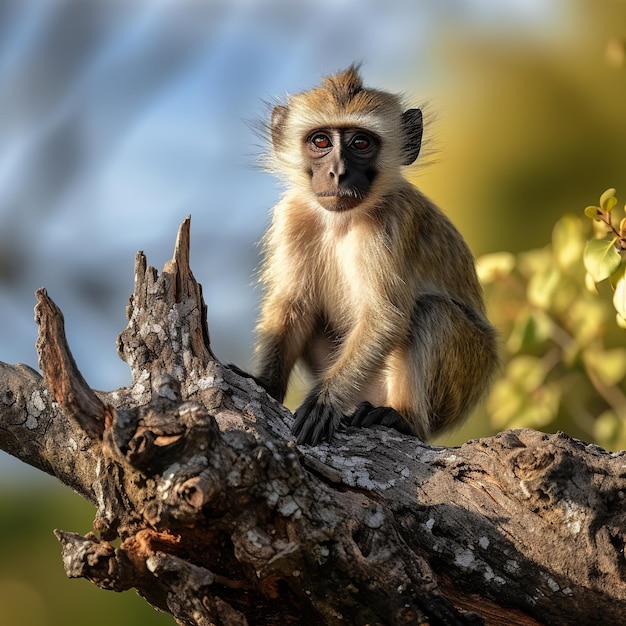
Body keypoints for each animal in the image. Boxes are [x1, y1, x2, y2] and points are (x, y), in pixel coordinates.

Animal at [244, 63, 498, 444]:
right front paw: (266, 384)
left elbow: (385, 317)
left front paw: (325, 401)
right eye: (321, 141)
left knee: (432, 311)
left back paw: (405, 419)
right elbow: (294, 304)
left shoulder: (391, 223)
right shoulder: (292, 216)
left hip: (469, 372)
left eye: (360, 143)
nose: (337, 172)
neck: (341, 221)